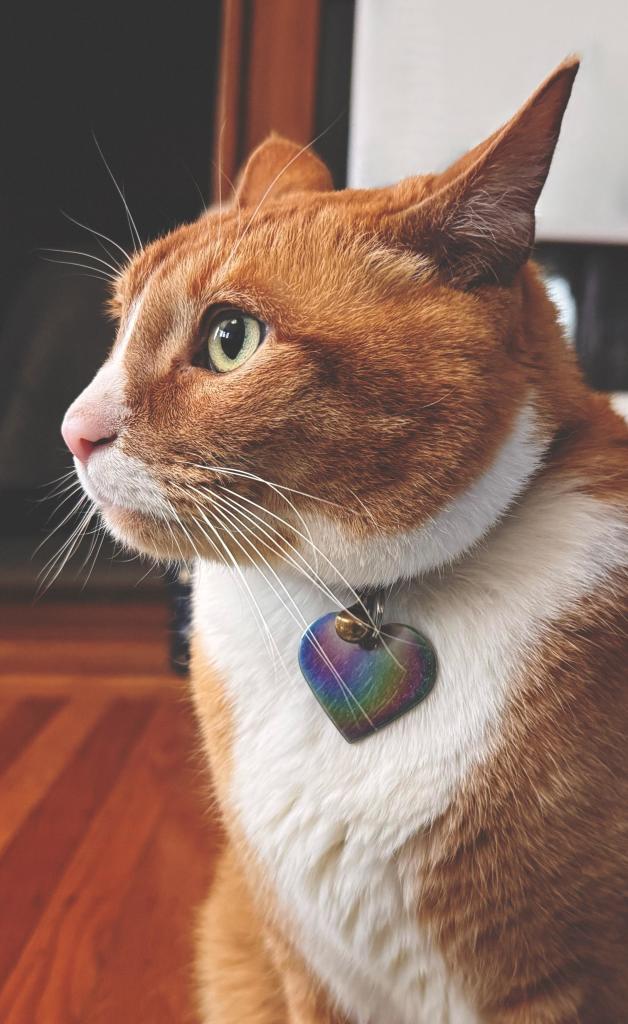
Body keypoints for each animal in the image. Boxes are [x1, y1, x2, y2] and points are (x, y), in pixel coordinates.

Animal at [59, 58, 626, 1024]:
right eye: (120, 322)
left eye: (230, 338)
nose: (73, 430)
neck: (342, 597)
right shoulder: (303, 964)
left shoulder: (559, 986)